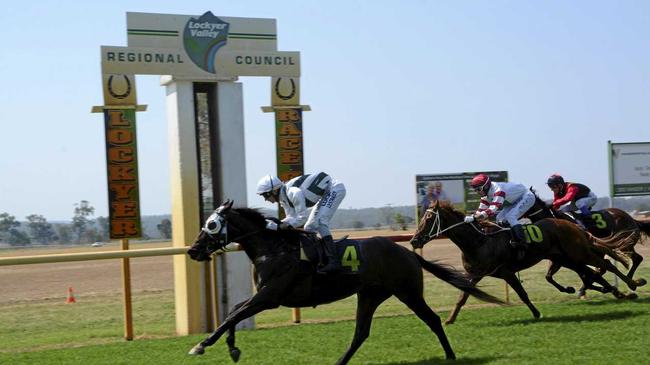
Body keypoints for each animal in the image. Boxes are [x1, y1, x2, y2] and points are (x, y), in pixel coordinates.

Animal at [408, 200, 636, 322]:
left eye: (428, 219)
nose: (414, 240)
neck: (479, 241)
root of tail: (571, 223)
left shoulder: (506, 272)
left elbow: (523, 294)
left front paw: (536, 313)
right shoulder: (475, 274)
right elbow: (462, 297)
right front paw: (450, 319)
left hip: (578, 253)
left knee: (604, 265)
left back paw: (632, 285)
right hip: (566, 258)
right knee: (592, 272)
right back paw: (617, 292)